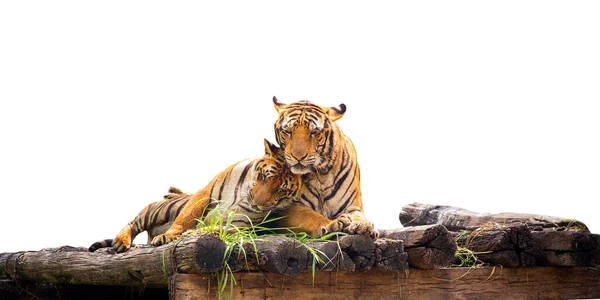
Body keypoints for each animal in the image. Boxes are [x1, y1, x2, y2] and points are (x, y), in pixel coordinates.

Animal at [88, 139, 300, 252]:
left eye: (281, 191)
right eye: (263, 176)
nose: (257, 202)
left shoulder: (241, 225)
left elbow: (218, 229)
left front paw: (194, 233)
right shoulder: (205, 195)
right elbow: (184, 219)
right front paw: (167, 236)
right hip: (157, 211)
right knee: (133, 223)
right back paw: (121, 242)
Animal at [274, 98, 380, 239]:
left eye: (314, 132)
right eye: (288, 132)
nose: (298, 157)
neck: (321, 174)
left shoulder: (353, 206)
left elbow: (359, 216)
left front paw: (363, 226)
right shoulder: (288, 208)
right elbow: (311, 216)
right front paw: (333, 224)